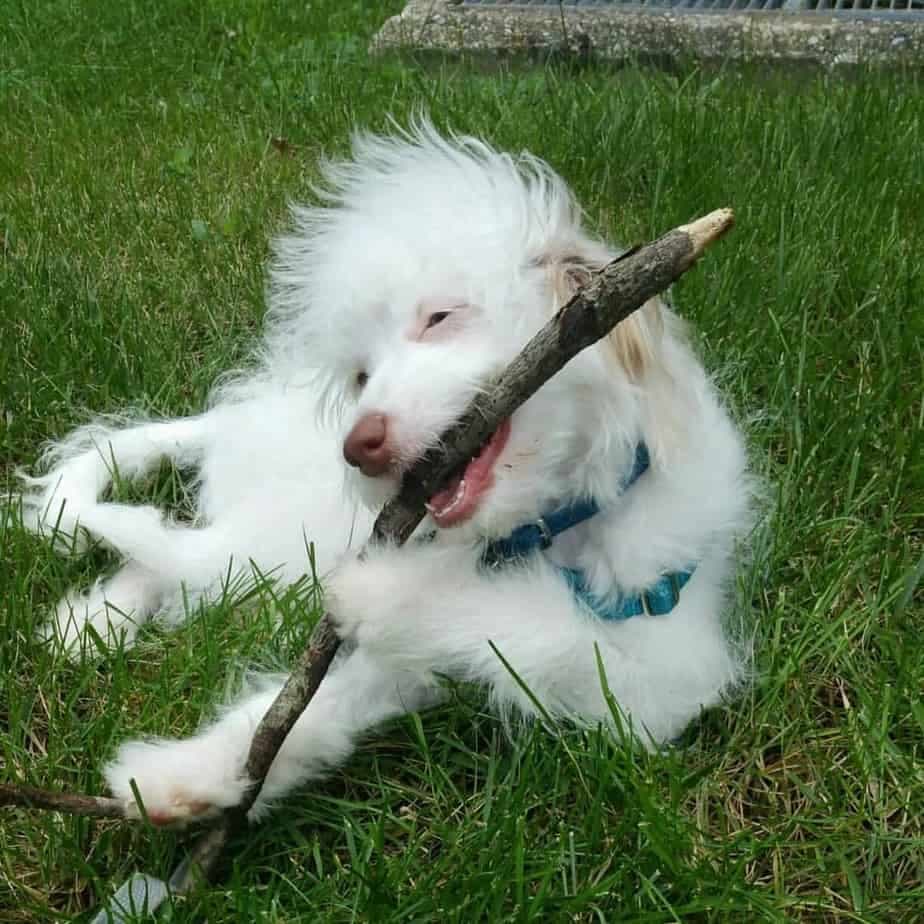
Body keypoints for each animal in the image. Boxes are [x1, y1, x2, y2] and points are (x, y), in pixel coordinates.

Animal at [18, 122, 756, 824]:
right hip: (298, 530)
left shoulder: (667, 669)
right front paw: (197, 771)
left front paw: (388, 595)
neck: (547, 524)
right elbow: (315, 699)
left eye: (440, 317)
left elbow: (535, 628)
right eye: (361, 376)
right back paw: (94, 621)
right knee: (191, 557)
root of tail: (247, 414)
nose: (359, 445)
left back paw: (93, 622)